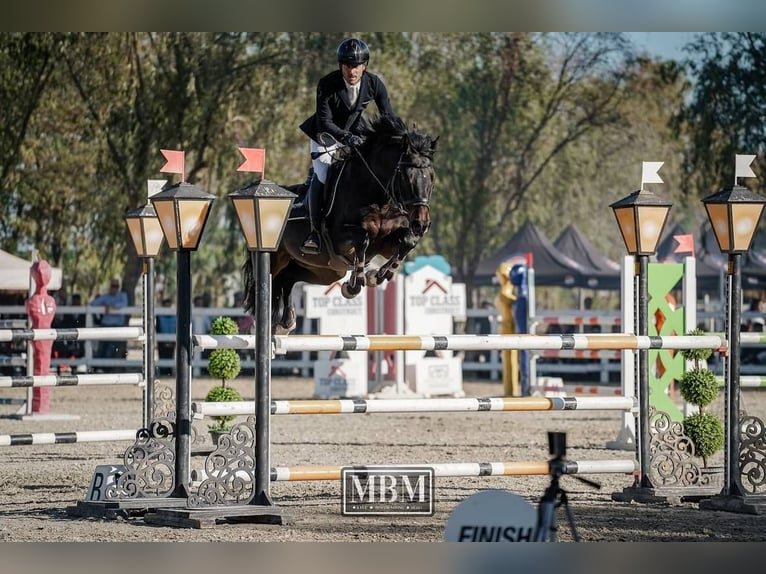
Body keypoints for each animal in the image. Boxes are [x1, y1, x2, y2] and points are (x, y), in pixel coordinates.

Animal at [246, 115, 438, 336]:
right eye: (406, 178)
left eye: (432, 178)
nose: (421, 223)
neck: (378, 197)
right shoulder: (341, 237)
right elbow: (363, 239)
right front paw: (355, 285)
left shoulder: (385, 243)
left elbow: (407, 242)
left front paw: (377, 276)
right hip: (277, 259)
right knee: (269, 283)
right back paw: (264, 325)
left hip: (323, 270)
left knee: (287, 279)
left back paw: (284, 323)